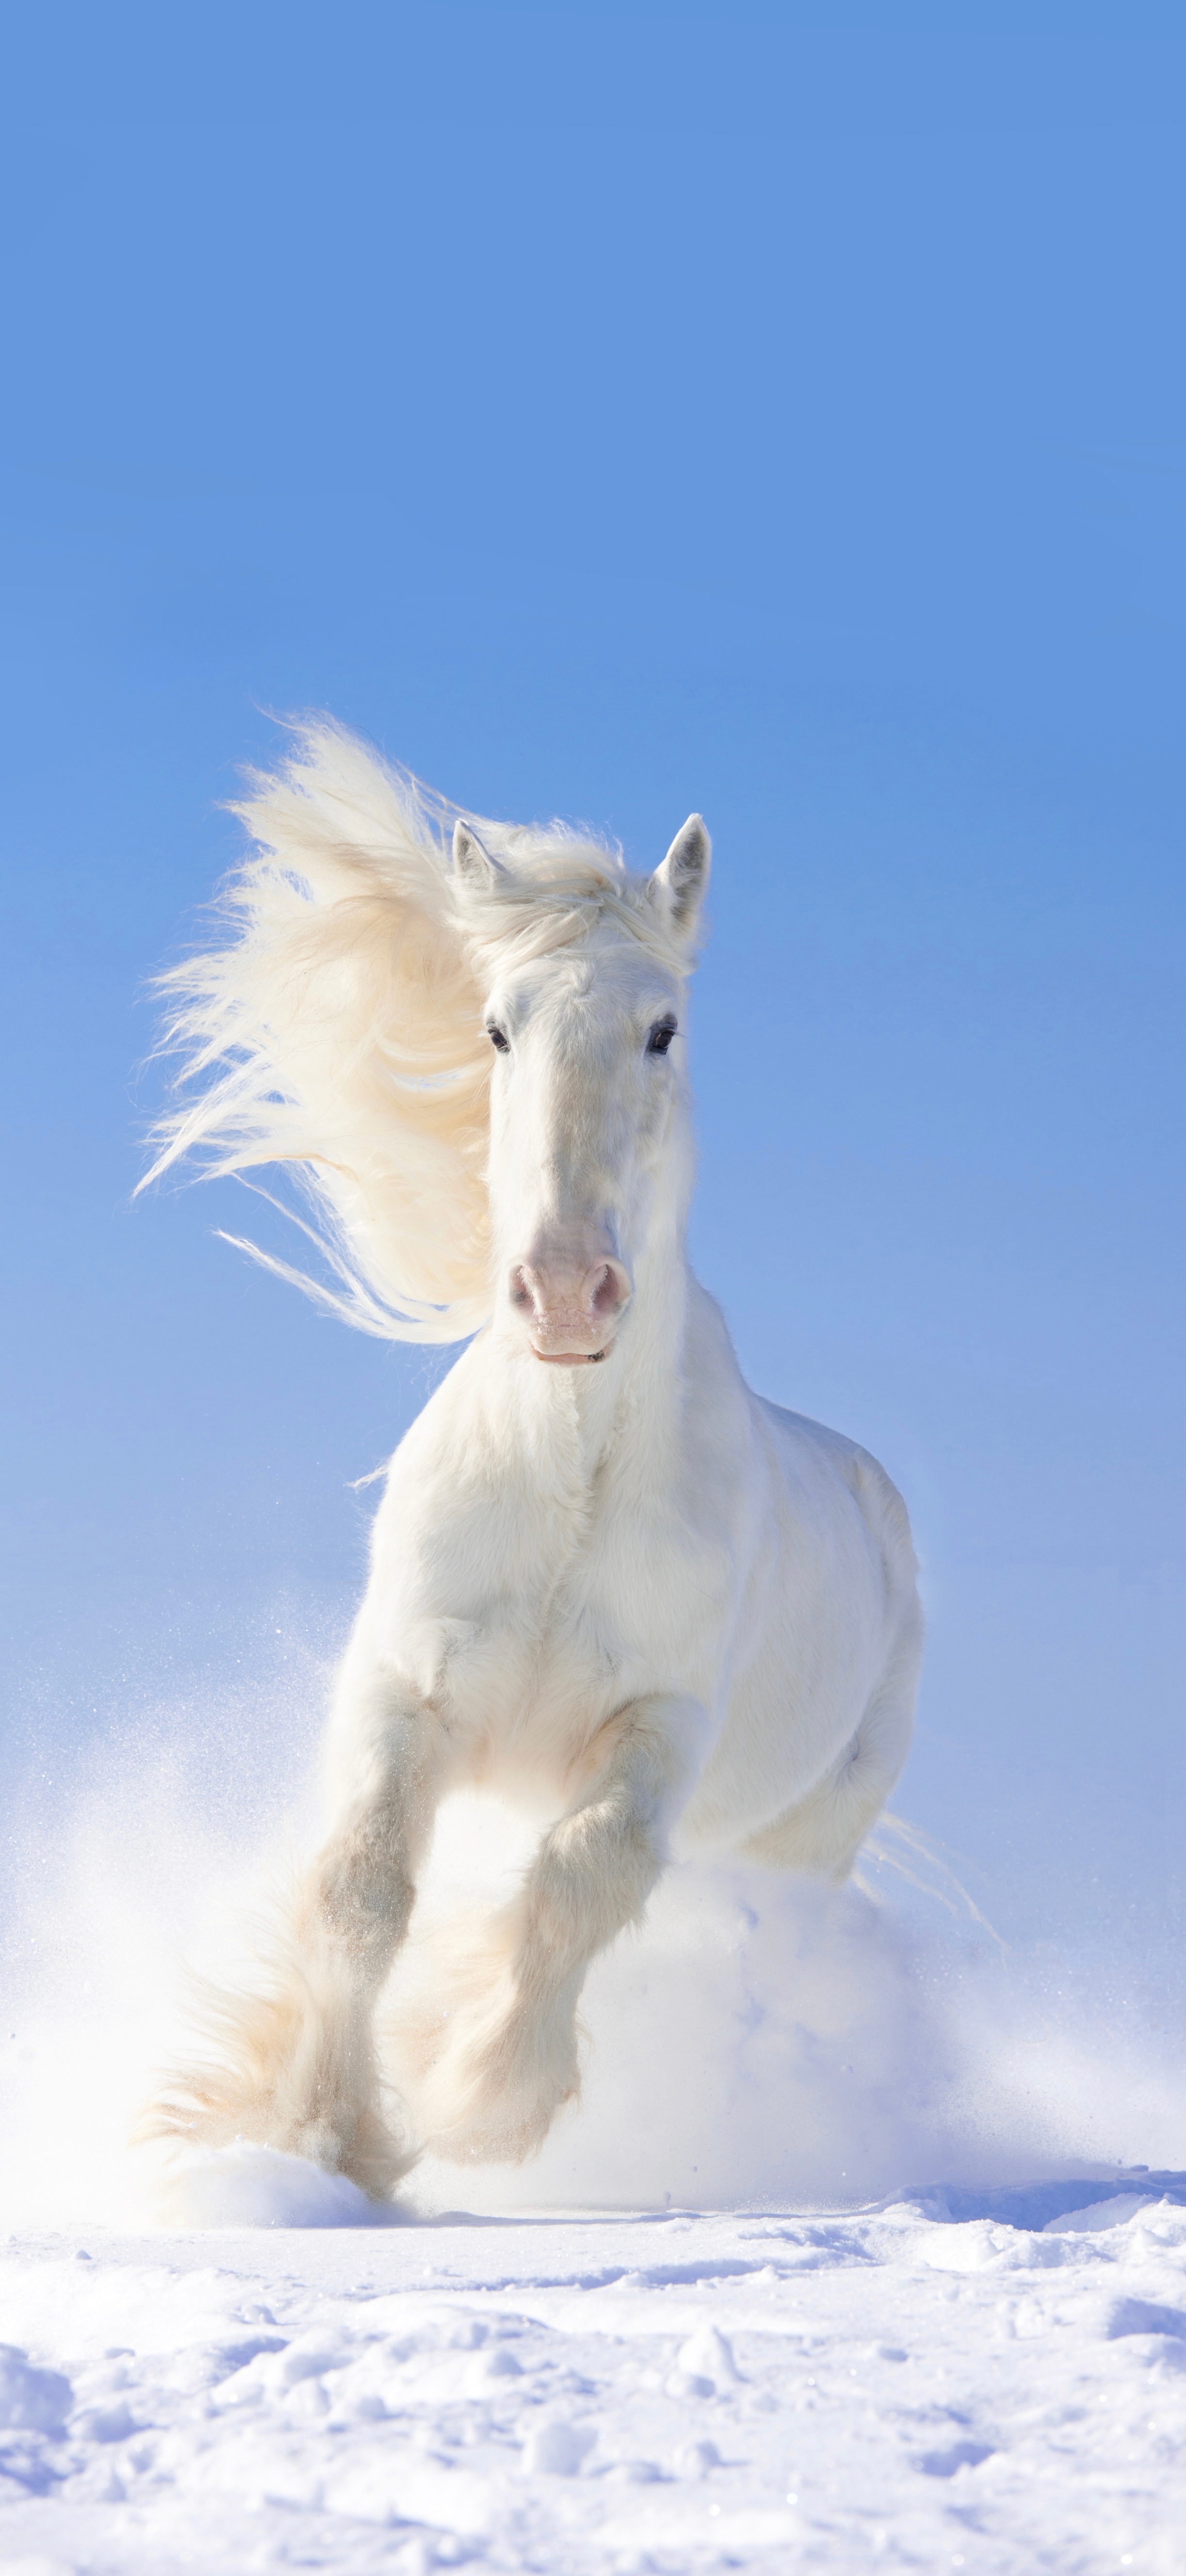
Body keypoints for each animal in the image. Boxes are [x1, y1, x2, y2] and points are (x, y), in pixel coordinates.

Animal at [139, 719, 924, 2199]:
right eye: (497, 1025)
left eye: (664, 1028)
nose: (566, 1292)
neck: (567, 1481)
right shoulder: (407, 1689)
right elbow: (360, 1887)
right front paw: (313, 2134)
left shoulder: (658, 1731)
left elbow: (580, 1878)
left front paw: (477, 2100)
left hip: (799, 1843)